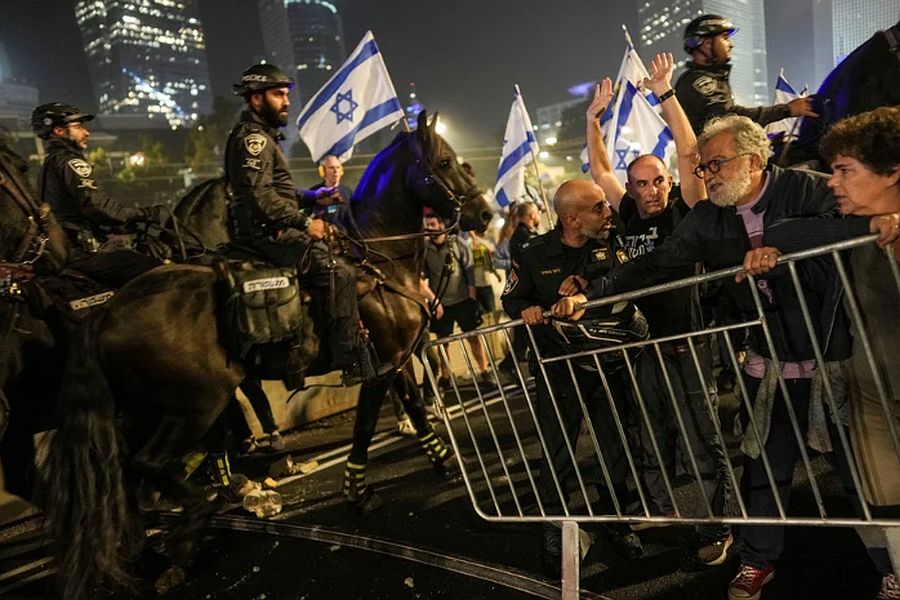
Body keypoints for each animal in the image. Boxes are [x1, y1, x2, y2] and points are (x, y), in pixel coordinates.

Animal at [43, 110, 492, 599]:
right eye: (445, 162)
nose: (485, 213)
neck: (378, 257)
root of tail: (106, 312)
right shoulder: (379, 364)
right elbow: (367, 423)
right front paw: (358, 491)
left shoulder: (396, 355)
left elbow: (412, 403)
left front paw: (442, 459)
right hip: (196, 405)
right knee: (149, 463)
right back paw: (191, 528)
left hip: (146, 410)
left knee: (124, 474)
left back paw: (149, 549)